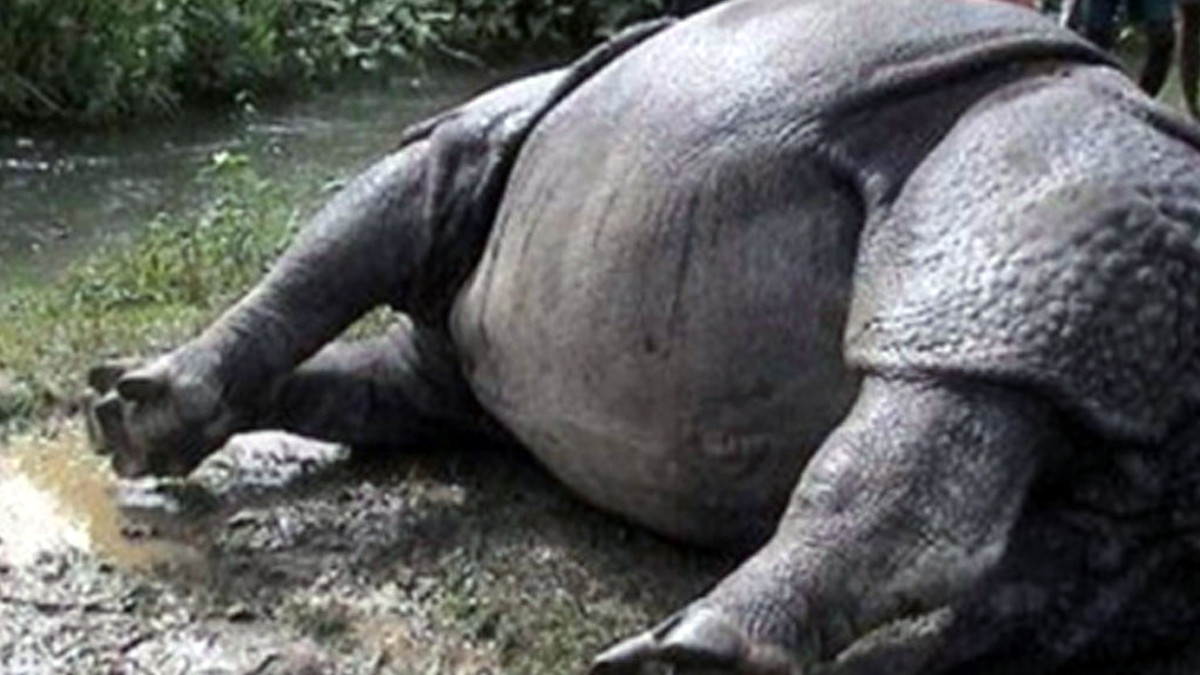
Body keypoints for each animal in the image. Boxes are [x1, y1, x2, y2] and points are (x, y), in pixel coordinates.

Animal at [87, 0, 1200, 672]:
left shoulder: (457, 146)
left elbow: (327, 256)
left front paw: (139, 412)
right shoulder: (440, 373)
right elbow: (343, 353)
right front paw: (121, 411)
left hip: (1048, 160)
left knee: (949, 380)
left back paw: (683, 654)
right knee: (1095, 556)